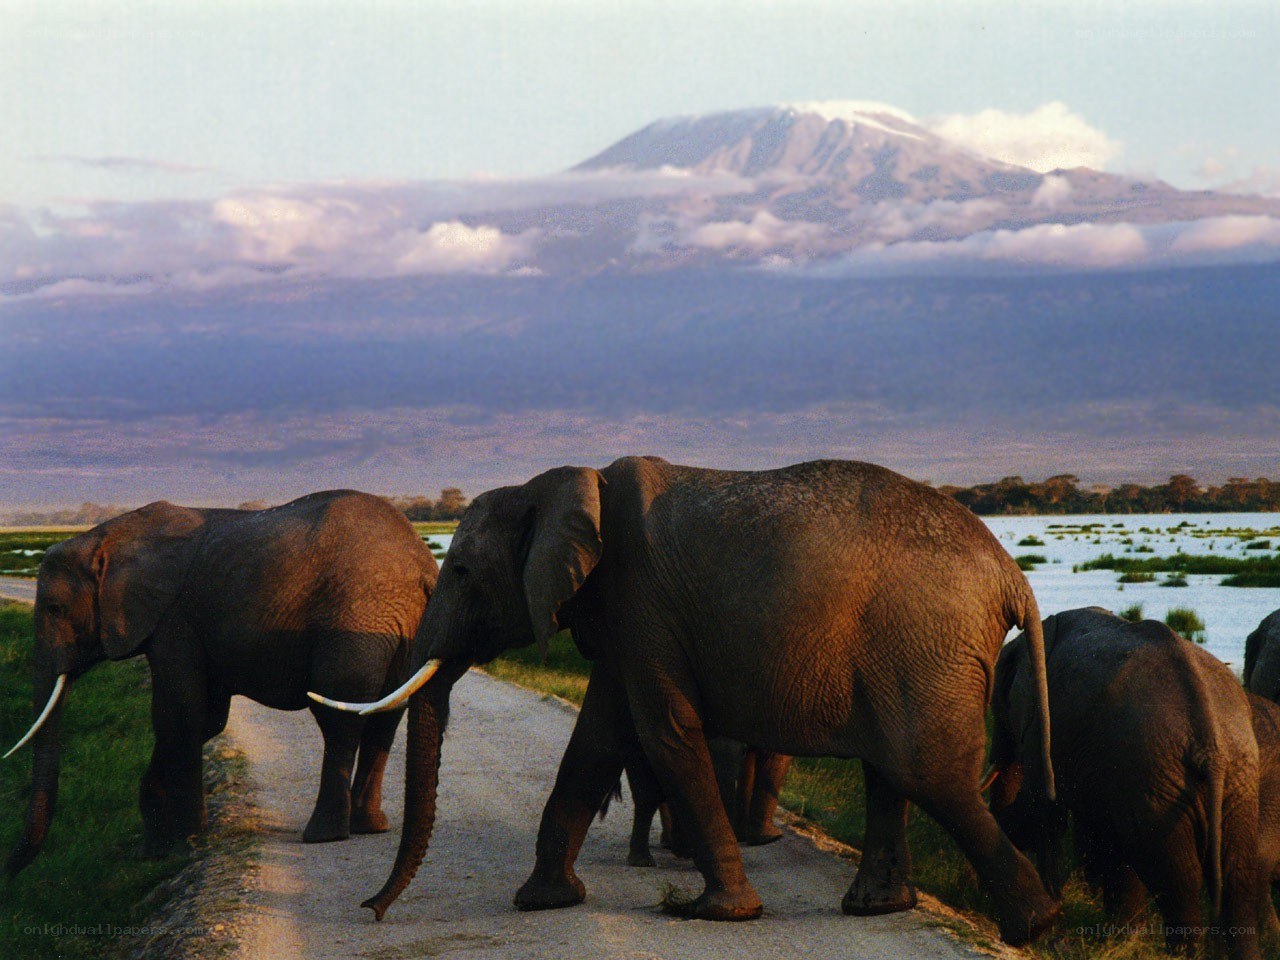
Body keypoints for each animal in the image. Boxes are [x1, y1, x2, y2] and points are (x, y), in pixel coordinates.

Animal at [4, 490, 437, 877]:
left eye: (55, 608)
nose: (12, 873)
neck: (105, 537)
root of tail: (422, 563)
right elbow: (204, 720)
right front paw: (154, 847)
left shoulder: (173, 622)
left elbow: (180, 715)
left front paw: (187, 839)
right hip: (399, 622)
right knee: (385, 716)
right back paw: (369, 827)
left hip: (355, 616)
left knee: (340, 716)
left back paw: (324, 835)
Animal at [320, 456, 1059, 944]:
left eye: (466, 573)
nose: (370, 911)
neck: (560, 483)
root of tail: (1013, 577)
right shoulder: (625, 618)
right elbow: (596, 740)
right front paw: (543, 902)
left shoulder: (642, 601)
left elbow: (665, 732)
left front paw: (719, 914)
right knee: (893, 773)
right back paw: (880, 911)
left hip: (925, 642)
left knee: (925, 772)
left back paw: (1036, 926)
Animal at [988, 607, 1261, 960]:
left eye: (999, 702)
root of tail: (1210, 744)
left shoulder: (1039, 722)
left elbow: (1047, 810)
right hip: (1235, 776)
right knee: (1236, 875)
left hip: (1155, 771)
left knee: (1172, 871)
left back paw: (1173, 952)